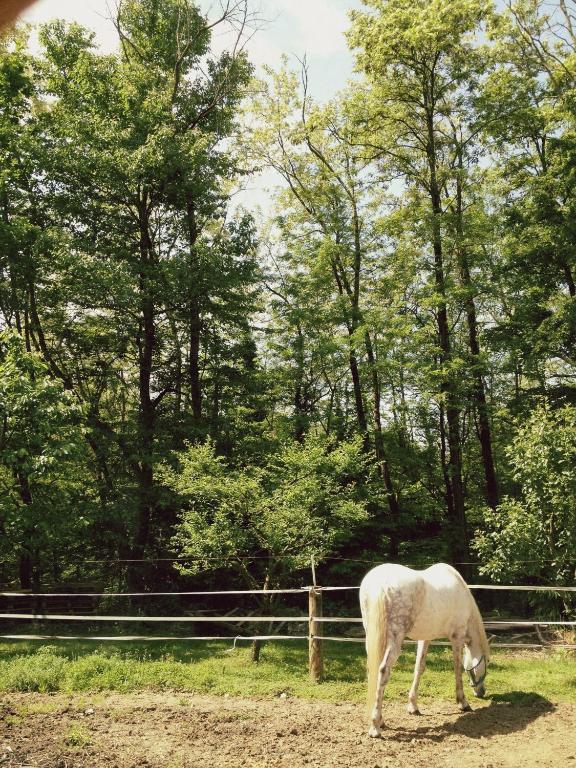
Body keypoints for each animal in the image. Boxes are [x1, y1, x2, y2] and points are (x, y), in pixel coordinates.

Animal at [360, 564, 490, 736]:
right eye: (487, 662)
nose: (481, 692)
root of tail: (380, 583)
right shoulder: (457, 636)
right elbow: (458, 669)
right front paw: (463, 702)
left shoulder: (425, 638)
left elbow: (419, 668)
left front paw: (413, 706)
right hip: (395, 639)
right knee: (383, 671)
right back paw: (375, 725)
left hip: (372, 637)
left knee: (373, 671)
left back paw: (380, 720)